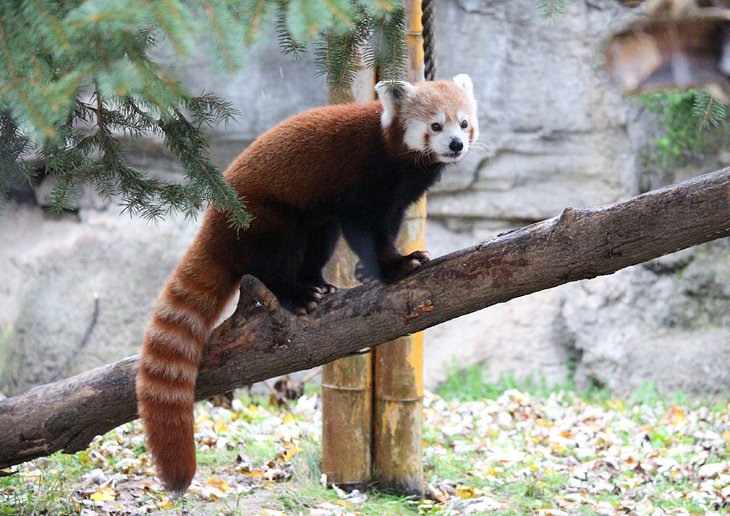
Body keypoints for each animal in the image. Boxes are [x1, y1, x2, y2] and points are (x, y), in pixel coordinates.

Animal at [135, 73, 478, 496]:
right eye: (435, 126)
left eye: (463, 123)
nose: (456, 144)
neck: (399, 157)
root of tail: (214, 228)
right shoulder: (364, 175)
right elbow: (364, 226)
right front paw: (395, 266)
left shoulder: (401, 193)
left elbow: (389, 222)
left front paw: (369, 271)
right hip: (265, 217)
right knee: (275, 255)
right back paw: (294, 293)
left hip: (308, 222)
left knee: (320, 238)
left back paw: (317, 283)